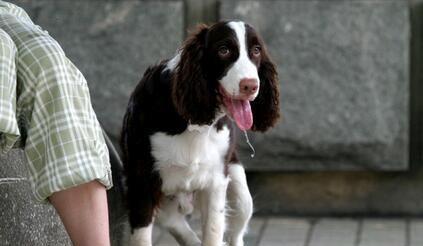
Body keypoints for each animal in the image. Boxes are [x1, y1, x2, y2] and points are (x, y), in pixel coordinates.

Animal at [121, 20, 282, 245]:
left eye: (256, 51)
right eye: (223, 50)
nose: (250, 85)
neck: (192, 123)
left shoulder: (216, 180)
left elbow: (213, 231)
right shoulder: (141, 182)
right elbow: (142, 236)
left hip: (240, 194)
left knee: (237, 226)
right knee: (175, 223)